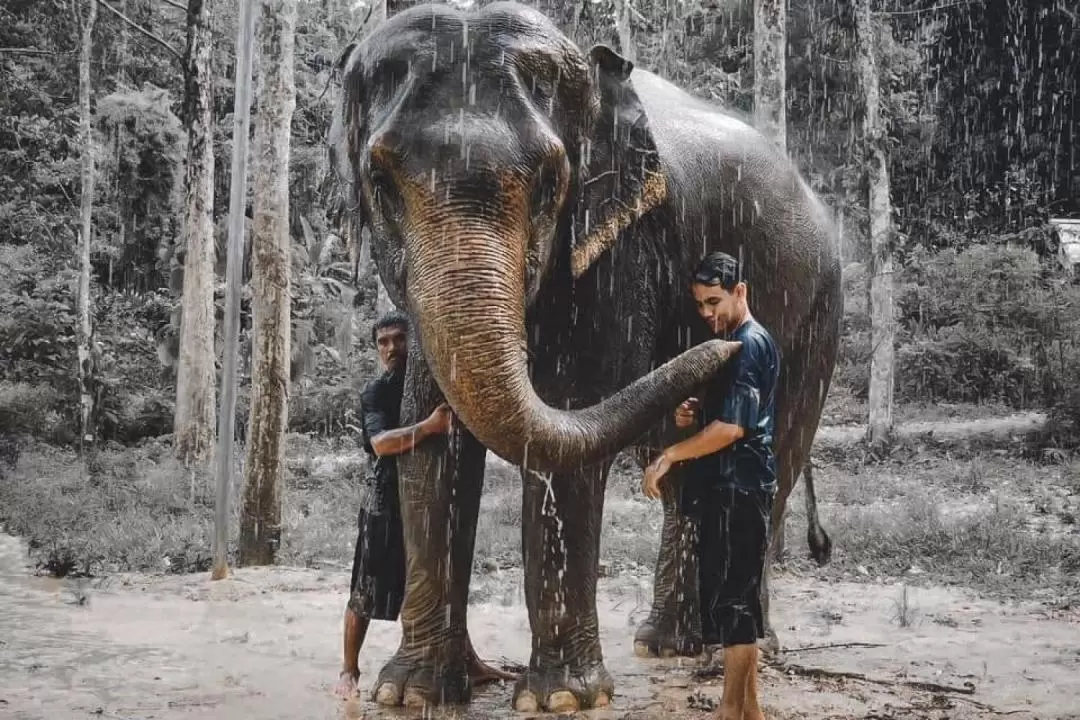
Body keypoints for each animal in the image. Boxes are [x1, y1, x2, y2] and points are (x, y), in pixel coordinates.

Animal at [328, 1, 842, 716]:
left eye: (551, 182)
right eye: (380, 180)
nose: (722, 339)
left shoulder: (617, 250)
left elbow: (567, 424)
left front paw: (561, 700)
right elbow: (431, 448)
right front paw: (411, 692)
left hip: (817, 314)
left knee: (775, 460)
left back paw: (730, 650)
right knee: (681, 466)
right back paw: (666, 644)